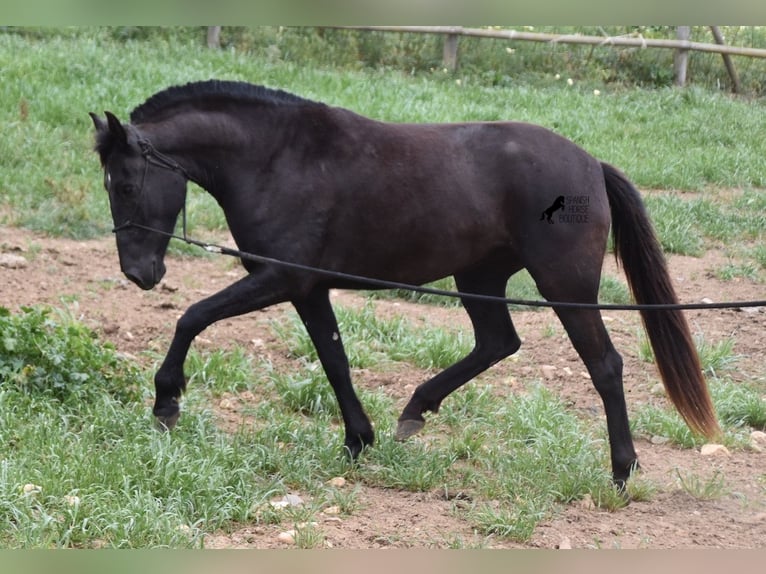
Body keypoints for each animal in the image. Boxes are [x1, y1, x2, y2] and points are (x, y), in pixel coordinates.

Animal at [90, 80, 720, 486]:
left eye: (126, 184)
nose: (138, 273)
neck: (278, 158)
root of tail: (591, 165)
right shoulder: (308, 289)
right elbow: (335, 360)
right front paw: (357, 439)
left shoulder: (280, 278)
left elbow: (191, 316)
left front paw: (166, 401)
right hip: (478, 277)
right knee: (498, 342)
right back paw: (415, 409)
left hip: (564, 285)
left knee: (604, 364)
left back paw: (622, 470)